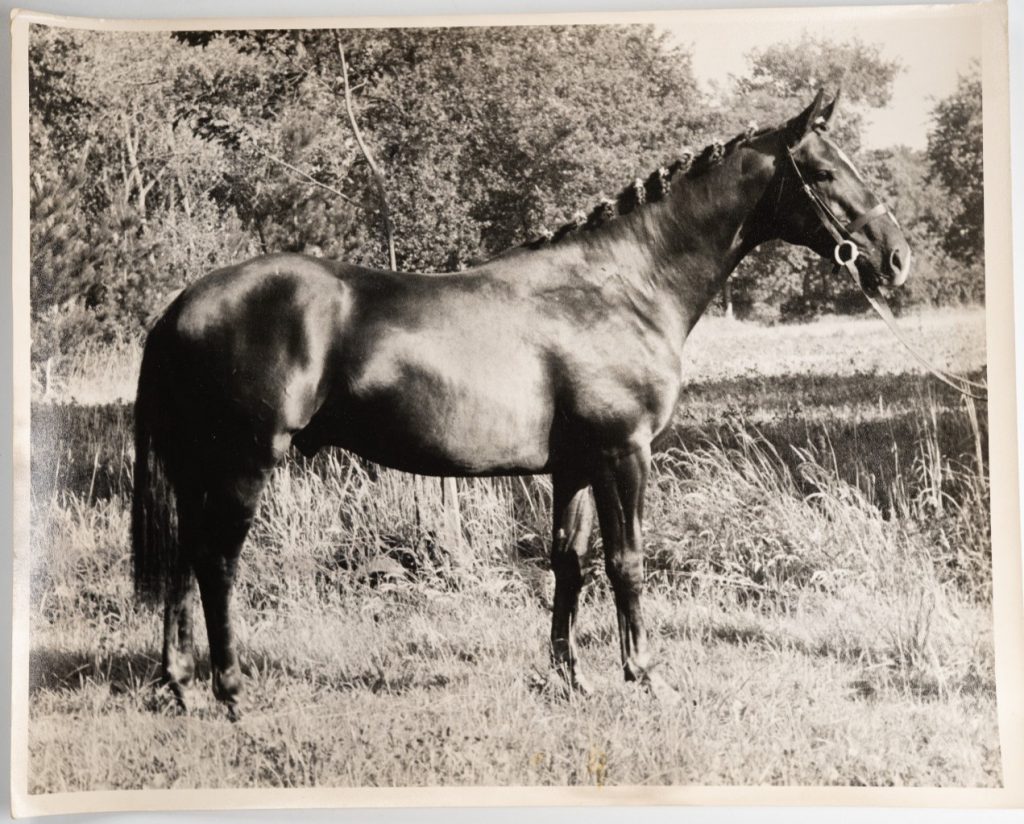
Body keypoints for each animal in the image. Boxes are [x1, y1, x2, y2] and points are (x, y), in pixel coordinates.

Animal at [132, 90, 911, 716]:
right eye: (825, 172)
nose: (897, 259)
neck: (622, 286)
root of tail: (180, 306)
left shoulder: (573, 469)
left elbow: (568, 564)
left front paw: (570, 677)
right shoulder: (624, 455)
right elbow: (627, 563)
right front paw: (646, 677)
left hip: (200, 468)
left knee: (181, 560)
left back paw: (179, 684)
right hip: (242, 465)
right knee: (215, 562)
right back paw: (231, 691)